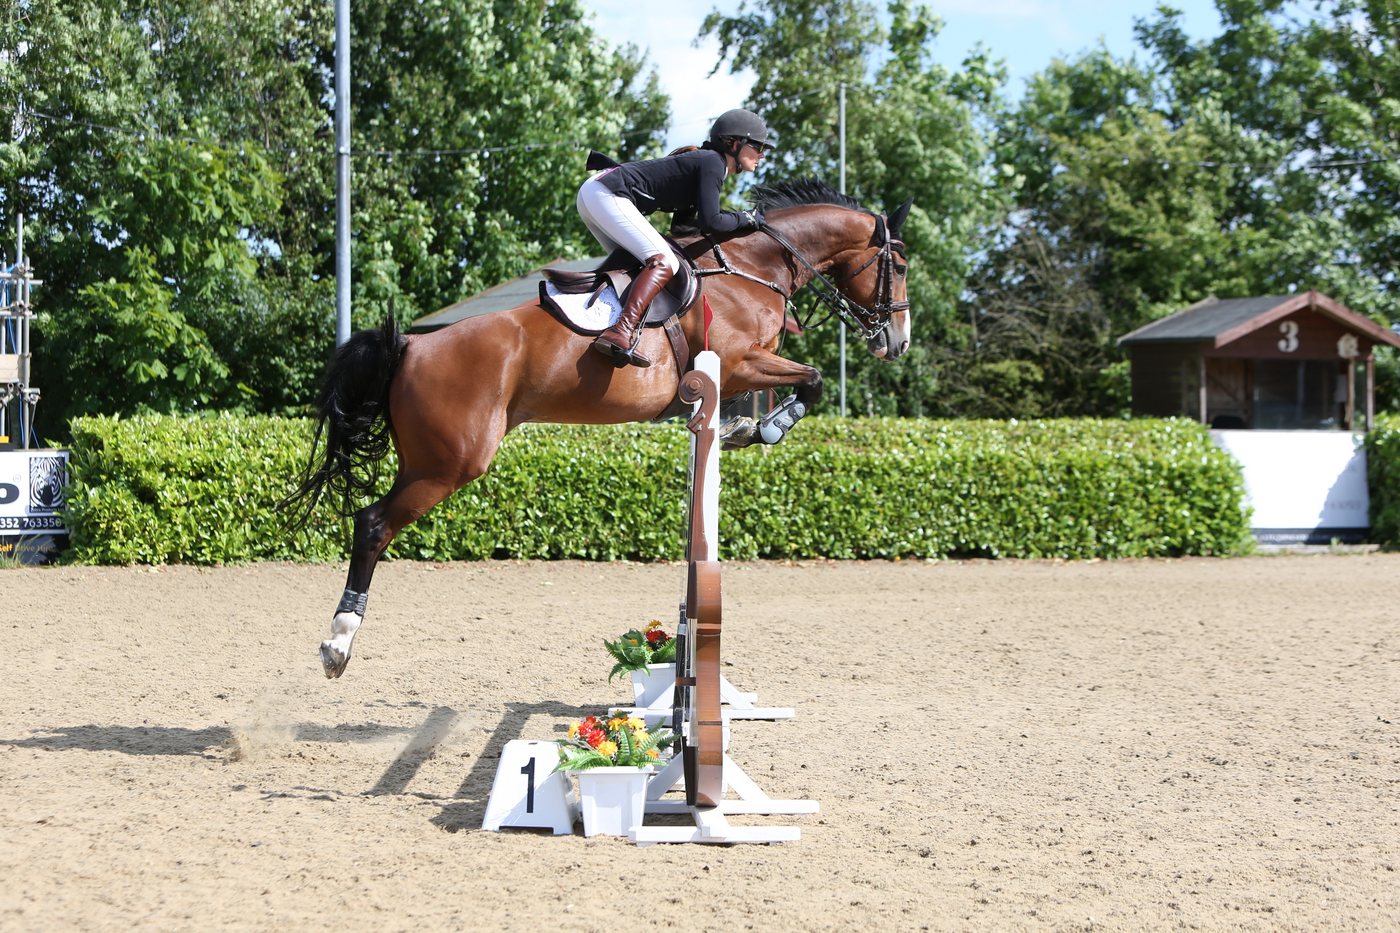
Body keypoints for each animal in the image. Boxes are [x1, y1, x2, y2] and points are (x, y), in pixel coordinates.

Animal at [283, 179, 913, 678]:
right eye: (901, 266)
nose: (897, 342)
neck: (754, 269)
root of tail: (412, 345)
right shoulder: (738, 362)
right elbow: (813, 381)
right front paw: (767, 429)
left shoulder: (736, 372)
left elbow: (789, 388)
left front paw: (741, 427)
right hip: (449, 464)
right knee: (372, 525)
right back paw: (338, 643)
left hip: (428, 461)